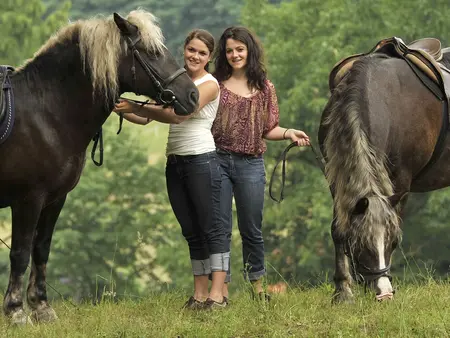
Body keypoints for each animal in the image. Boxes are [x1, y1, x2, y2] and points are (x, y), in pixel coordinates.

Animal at [0, 9, 199, 324]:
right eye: (152, 53)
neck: (44, 112)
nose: (192, 95)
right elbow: (20, 253)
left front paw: (41, 307)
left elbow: (41, 249)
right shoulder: (27, 200)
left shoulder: (54, 199)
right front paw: (16, 311)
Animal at [316, 38, 450, 302]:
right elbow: (338, 229)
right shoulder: (336, 175)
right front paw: (343, 291)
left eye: (392, 242)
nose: (384, 294)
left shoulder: (401, 182)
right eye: (359, 243)